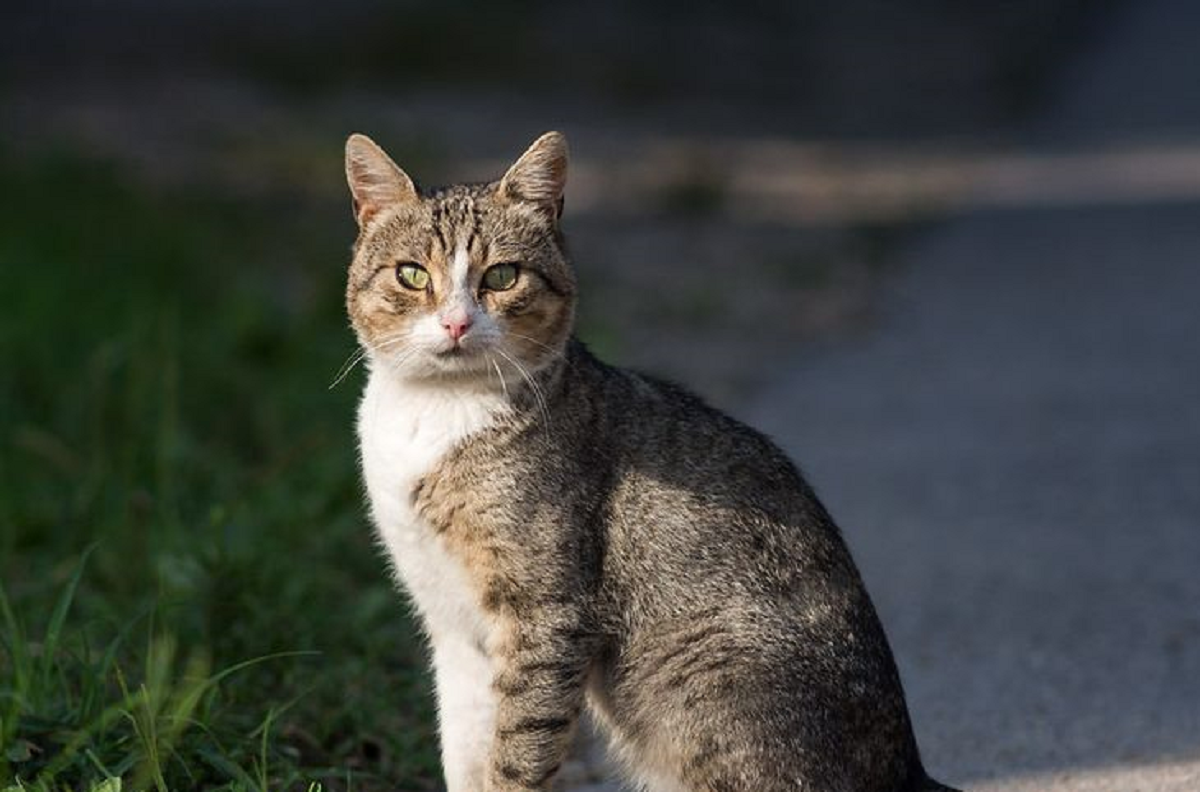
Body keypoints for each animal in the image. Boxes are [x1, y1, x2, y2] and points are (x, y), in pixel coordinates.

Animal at [343, 131, 960, 792]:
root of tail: (907, 768)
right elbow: (464, 749)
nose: (456, 322)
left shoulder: (547, 614)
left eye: (502, 276)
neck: (437, 410)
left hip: (703, 681)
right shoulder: (453, 624)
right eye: (411, 275)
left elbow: (517, 747)